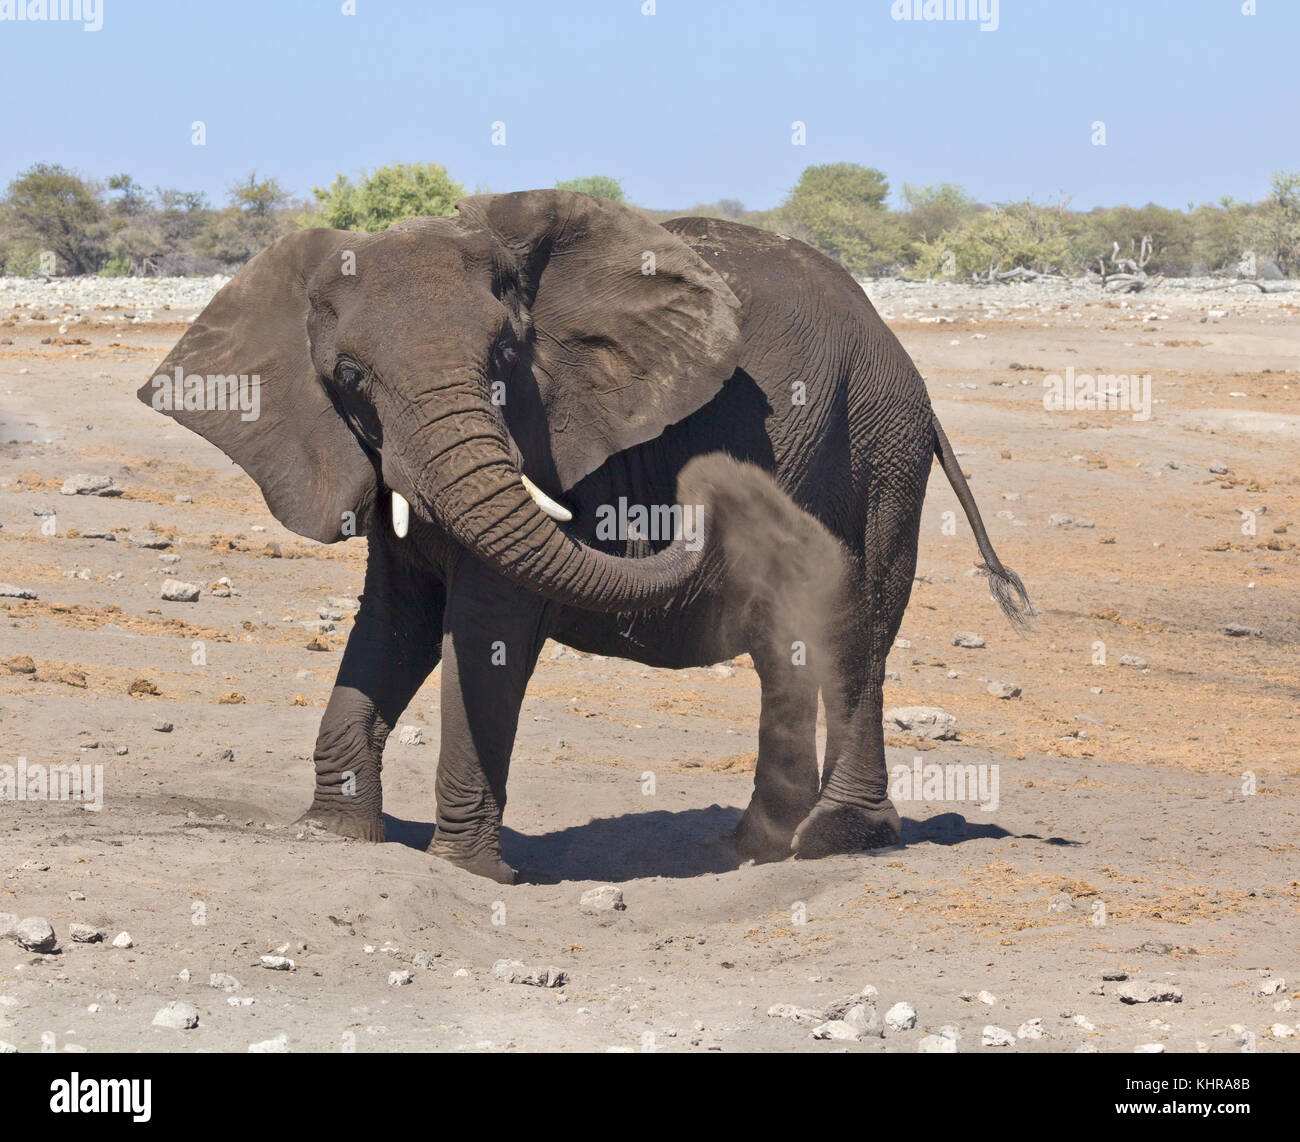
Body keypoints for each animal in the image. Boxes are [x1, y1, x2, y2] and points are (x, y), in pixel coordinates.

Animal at [138, 190, 1030, 884]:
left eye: (507, 356)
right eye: (350, 380)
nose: (711, 485)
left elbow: (487, 631)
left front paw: (469, 870)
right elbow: (395, 623)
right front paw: (332, 834)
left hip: (881, 442)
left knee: (858, 626)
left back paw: (834, 843)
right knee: (796, 642)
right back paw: (756, 846)